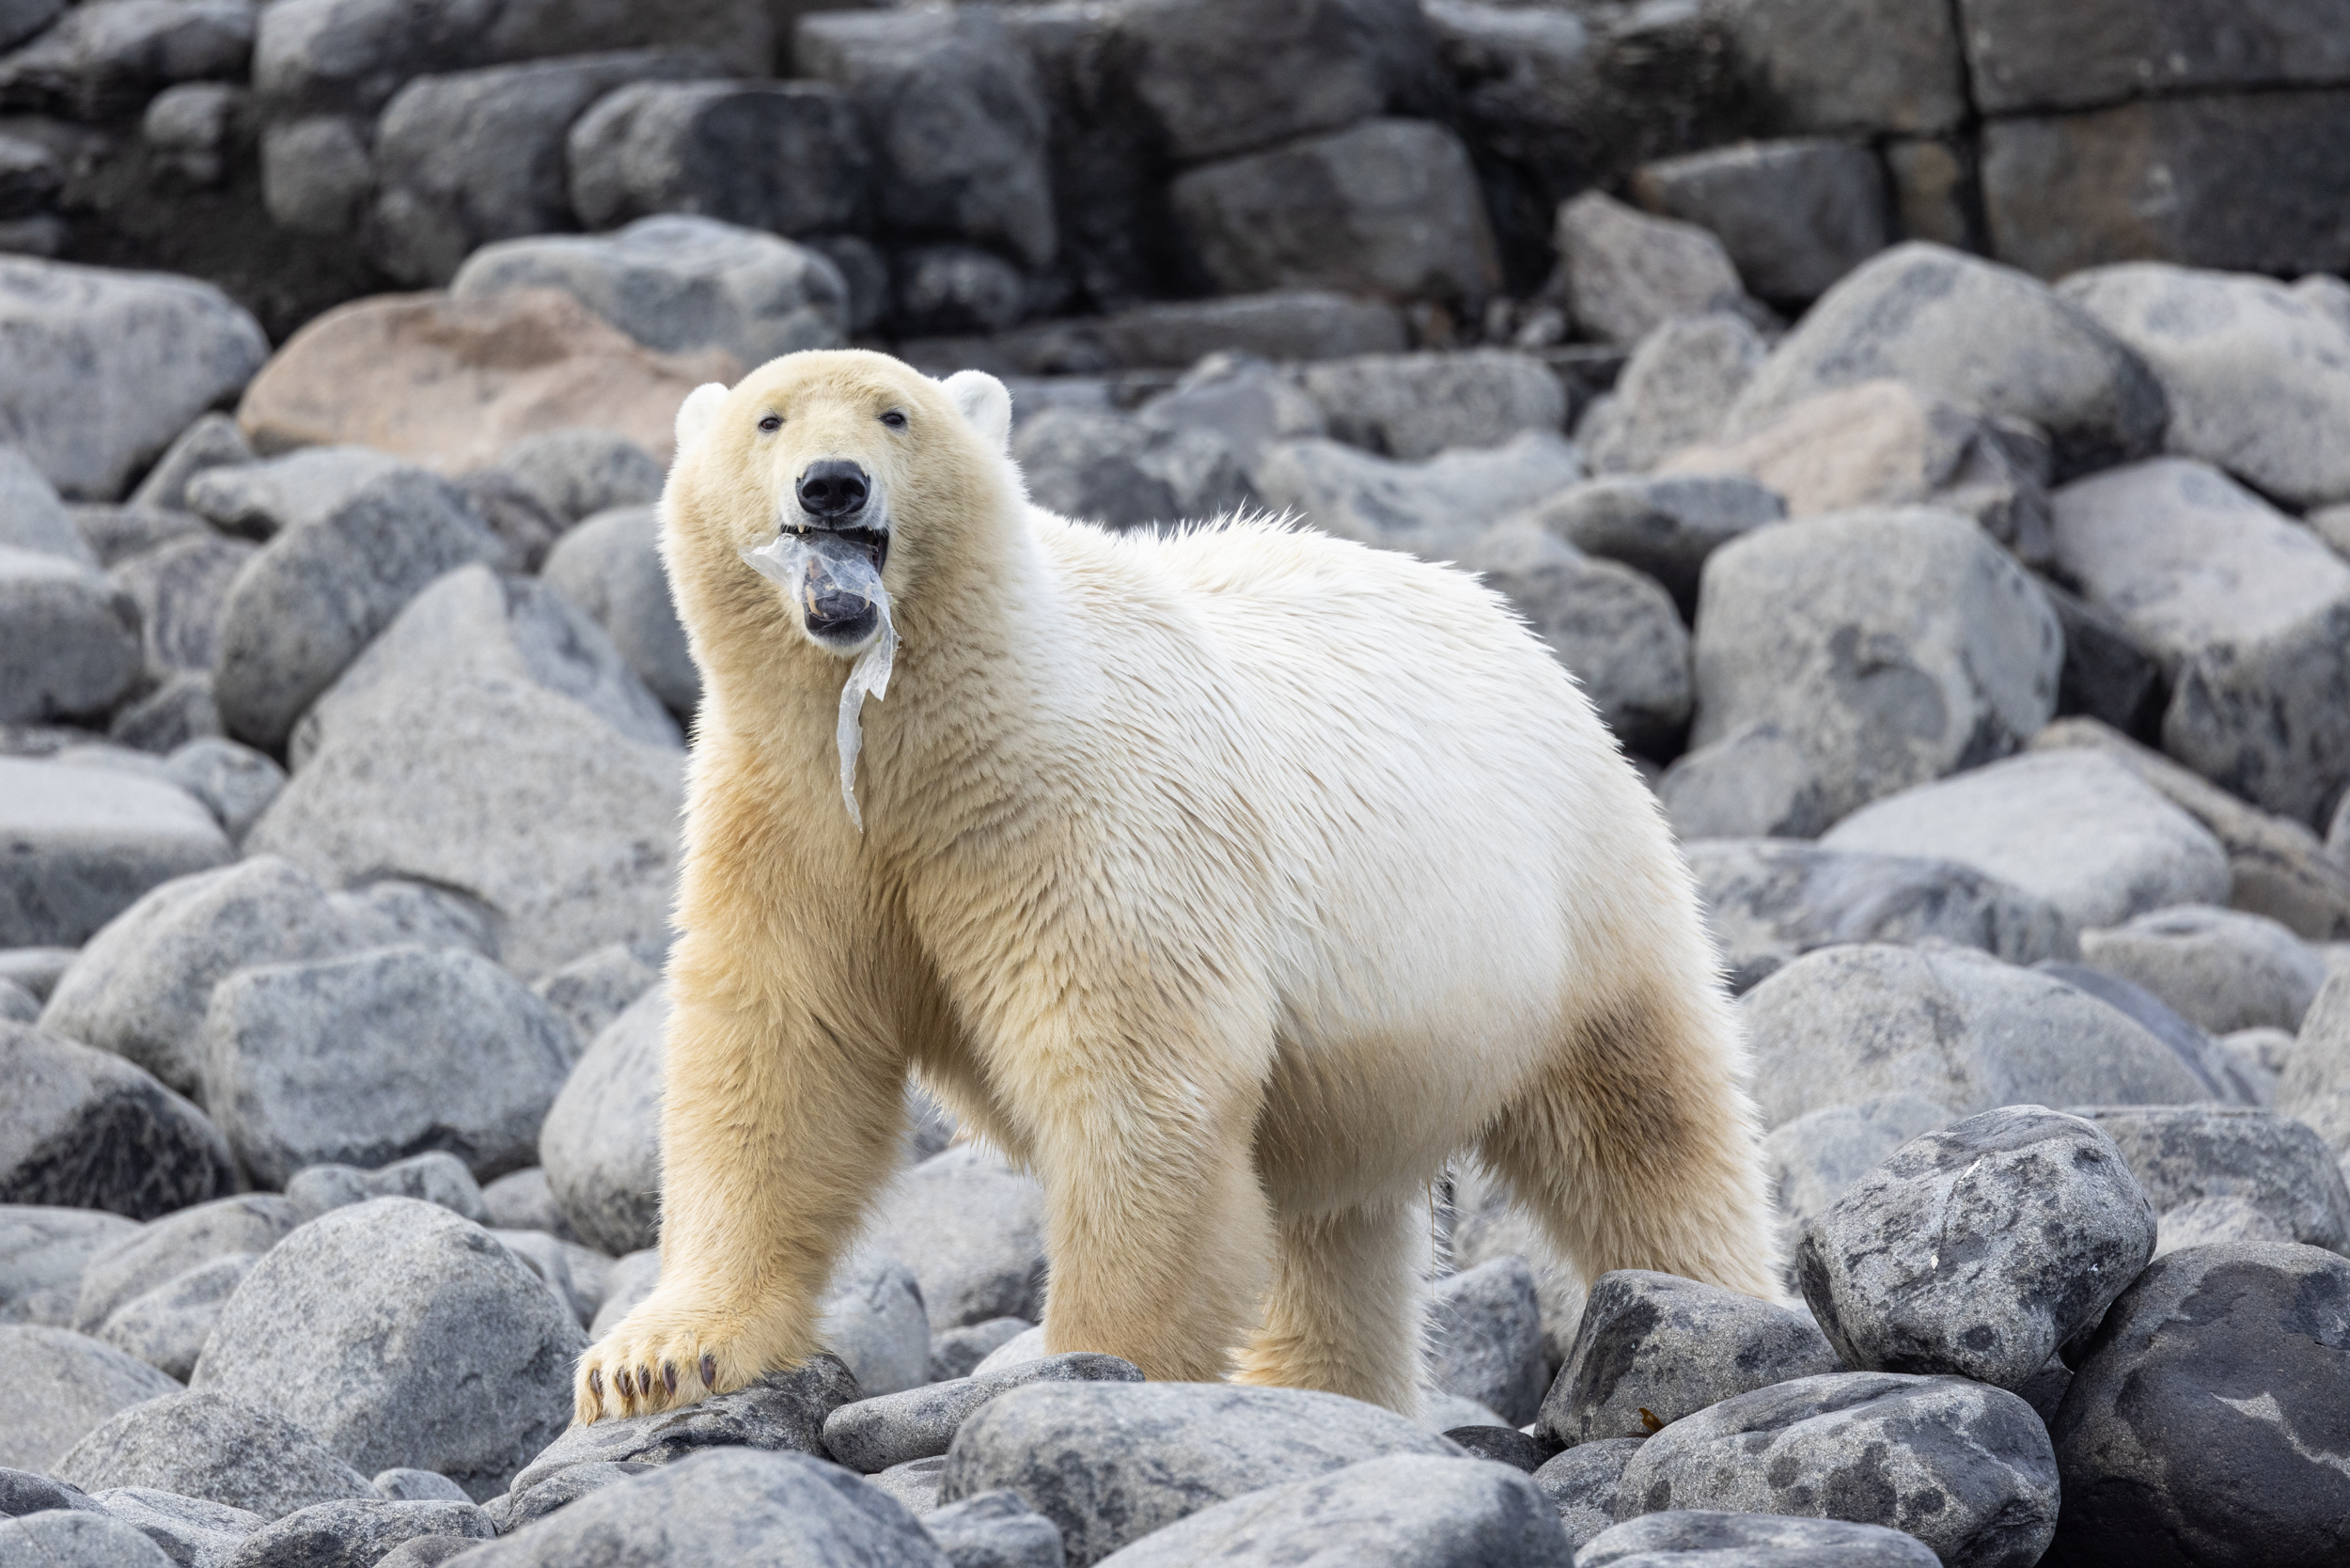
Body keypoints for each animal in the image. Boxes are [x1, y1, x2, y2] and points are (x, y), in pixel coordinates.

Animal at [578, 353, 1767, 1419]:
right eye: (769, 420)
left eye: (894, 412)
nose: (832, 484)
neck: (922, 733)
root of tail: (1506, 622)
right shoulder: (791, 819)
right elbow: (779, 1057)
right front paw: (653, 1360)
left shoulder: (1080, 812)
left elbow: (1135, 1074)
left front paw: (1097, 1362)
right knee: (1336, 1220)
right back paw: (1316, 1389)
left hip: (1570, 888)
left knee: (1643, 1122)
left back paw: (1715, 1308)